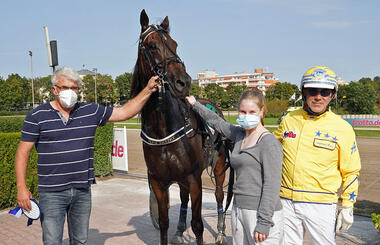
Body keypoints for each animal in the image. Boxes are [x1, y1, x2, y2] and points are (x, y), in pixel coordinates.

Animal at [130, 8, 232, 244]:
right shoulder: (158, 182)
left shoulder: (194, 179)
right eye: (152, 45)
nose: (183, 82)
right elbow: (163, 222)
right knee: (184, 199)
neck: (164, 132)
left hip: (219, 166)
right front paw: (173, 229)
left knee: (220, 195)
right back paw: (179, 230)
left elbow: (198, 224)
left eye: (174, 44)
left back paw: (221, 232)